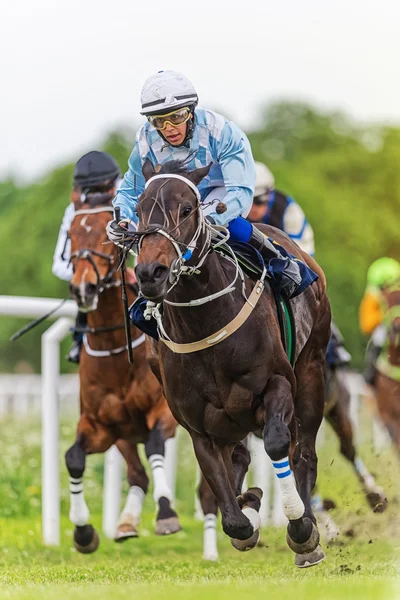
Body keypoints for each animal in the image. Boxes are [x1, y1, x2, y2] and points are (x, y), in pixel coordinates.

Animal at [65, 195, 181, 552]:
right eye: (71, 234)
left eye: (104, 235)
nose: (84, 289)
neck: (117, 352)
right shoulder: (103, 426)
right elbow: (73, 457)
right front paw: (83, 531)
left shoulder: (164, 411)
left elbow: (156, 444)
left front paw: (166, 513)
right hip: (124, 436)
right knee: (137, 474)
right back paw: (126, 523)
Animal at [131, 161, 332, 568]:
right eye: (140, 210)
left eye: (187, 209)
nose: (150, 273)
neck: (206, 323)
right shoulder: (197, 423)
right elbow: (229, 509)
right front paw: (248, 509)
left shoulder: (278, 383)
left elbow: (277, 443)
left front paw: (299, 526)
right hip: (231, 417)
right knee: (239, 455)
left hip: (311, 372)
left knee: (303, 452)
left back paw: (306, 528)